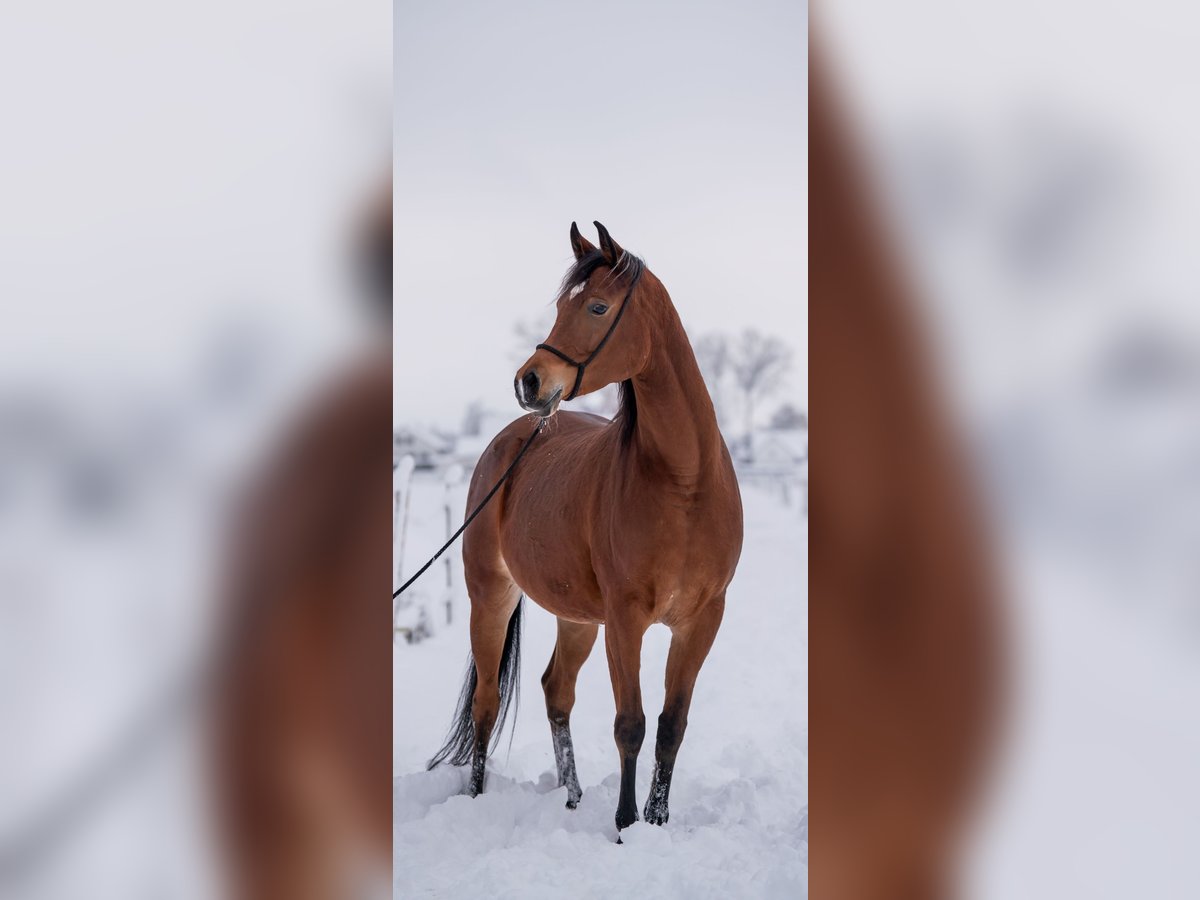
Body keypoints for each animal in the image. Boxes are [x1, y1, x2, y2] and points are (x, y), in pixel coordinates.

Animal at [427, 222, 734, 835]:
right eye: (561, 307)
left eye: (596, 307)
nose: (529, 381)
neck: (685, 482)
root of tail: (512, 439)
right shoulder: (626, 618)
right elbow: (630, 724)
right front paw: (625, 826)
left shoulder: (701, 620)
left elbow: (671, 725)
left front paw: (656, 822)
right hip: (491, 597)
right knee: (487, 702)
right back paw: (477, 799)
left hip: (577, 617)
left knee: (557, 692)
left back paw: (571, 799)